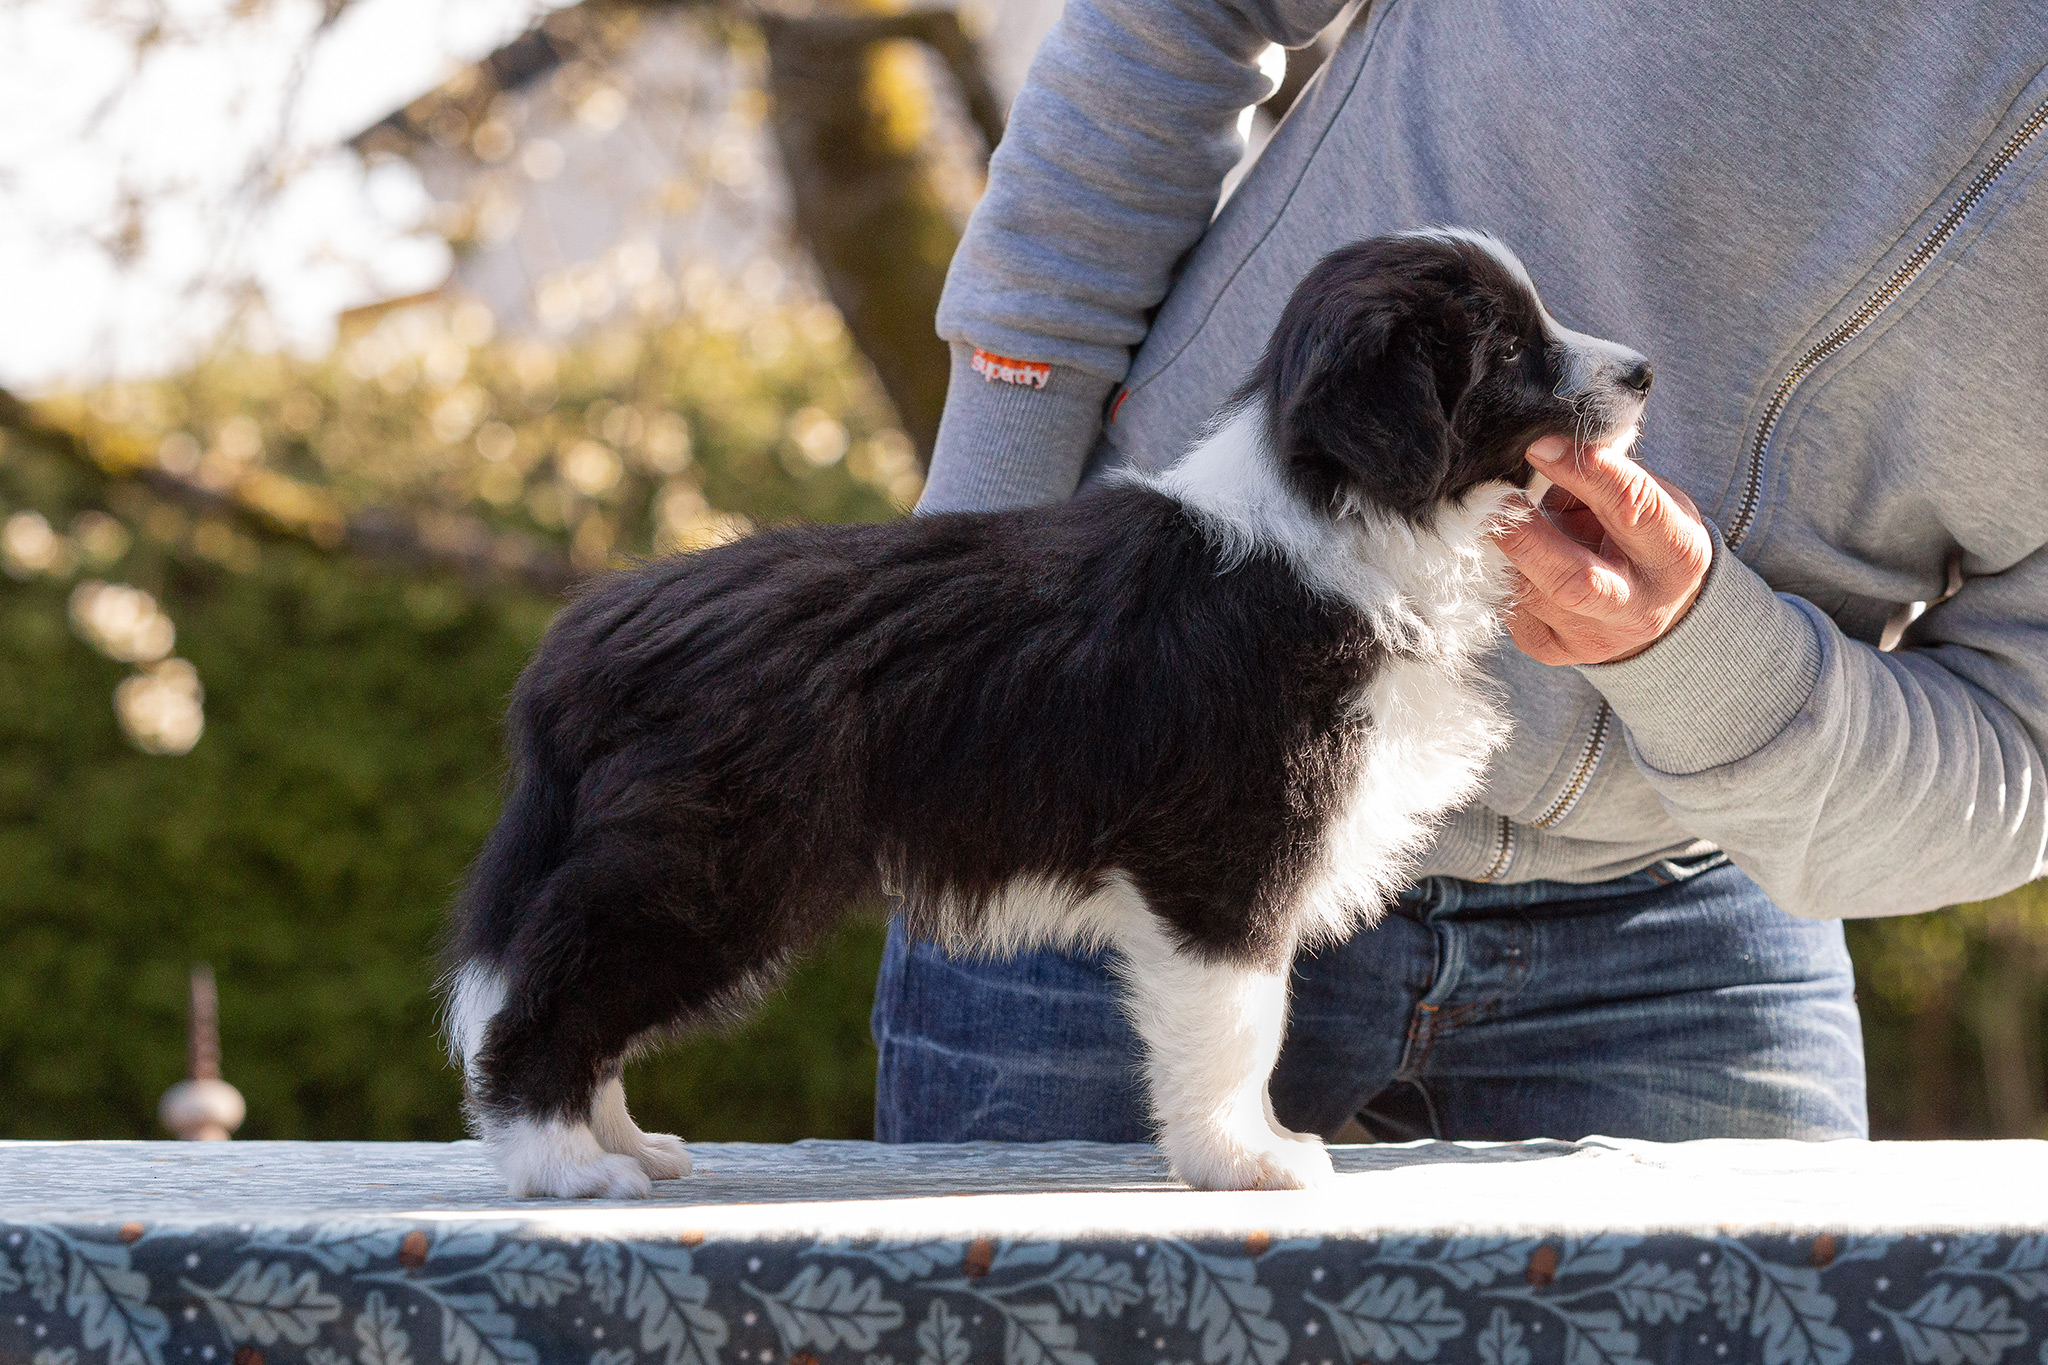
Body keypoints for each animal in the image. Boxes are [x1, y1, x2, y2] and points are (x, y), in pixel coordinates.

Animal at [444, 232, 1646, 1195]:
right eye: (1506, 351)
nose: (1641, 371)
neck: (1343, 517)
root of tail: (582, 642)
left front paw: (1249, 1148)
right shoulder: (1227, 854)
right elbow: (1241, 1020)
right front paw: (1243, 1162)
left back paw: (622, 1143)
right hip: (707, 868)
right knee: (547, 999)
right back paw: (564, 1165)